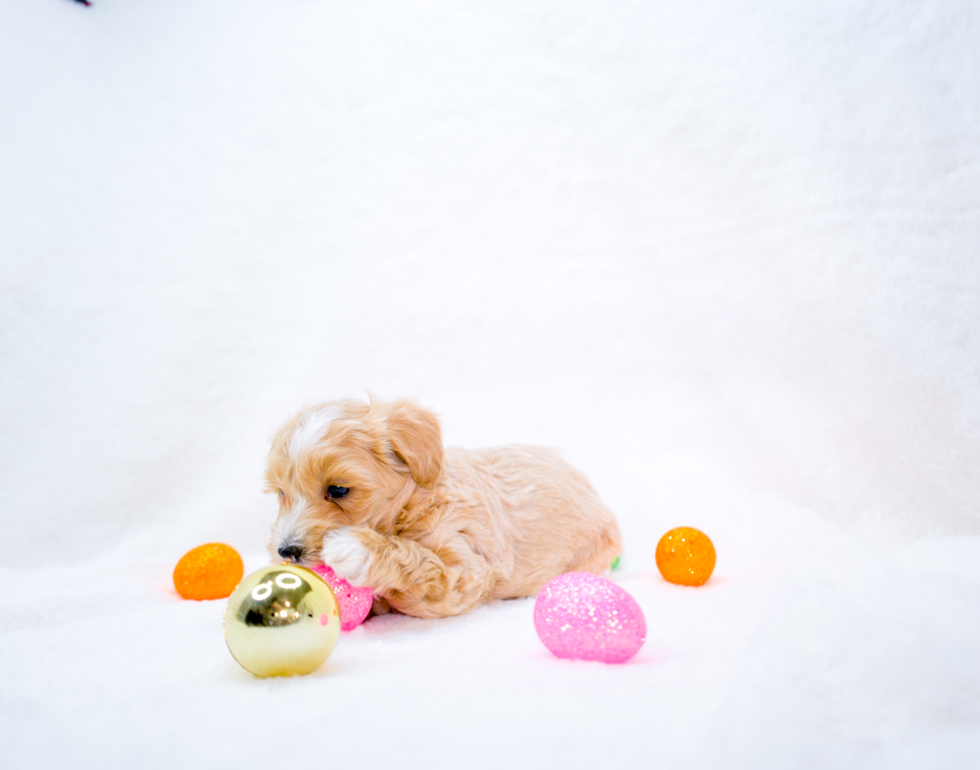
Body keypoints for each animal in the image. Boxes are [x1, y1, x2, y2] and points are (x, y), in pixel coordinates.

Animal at [266, 396, 620, 616]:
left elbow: (423, 566)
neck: (415, 503)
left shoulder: (466, 570)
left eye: (338, 490)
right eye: (281, 493)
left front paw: (359, 549)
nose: (286, 551)